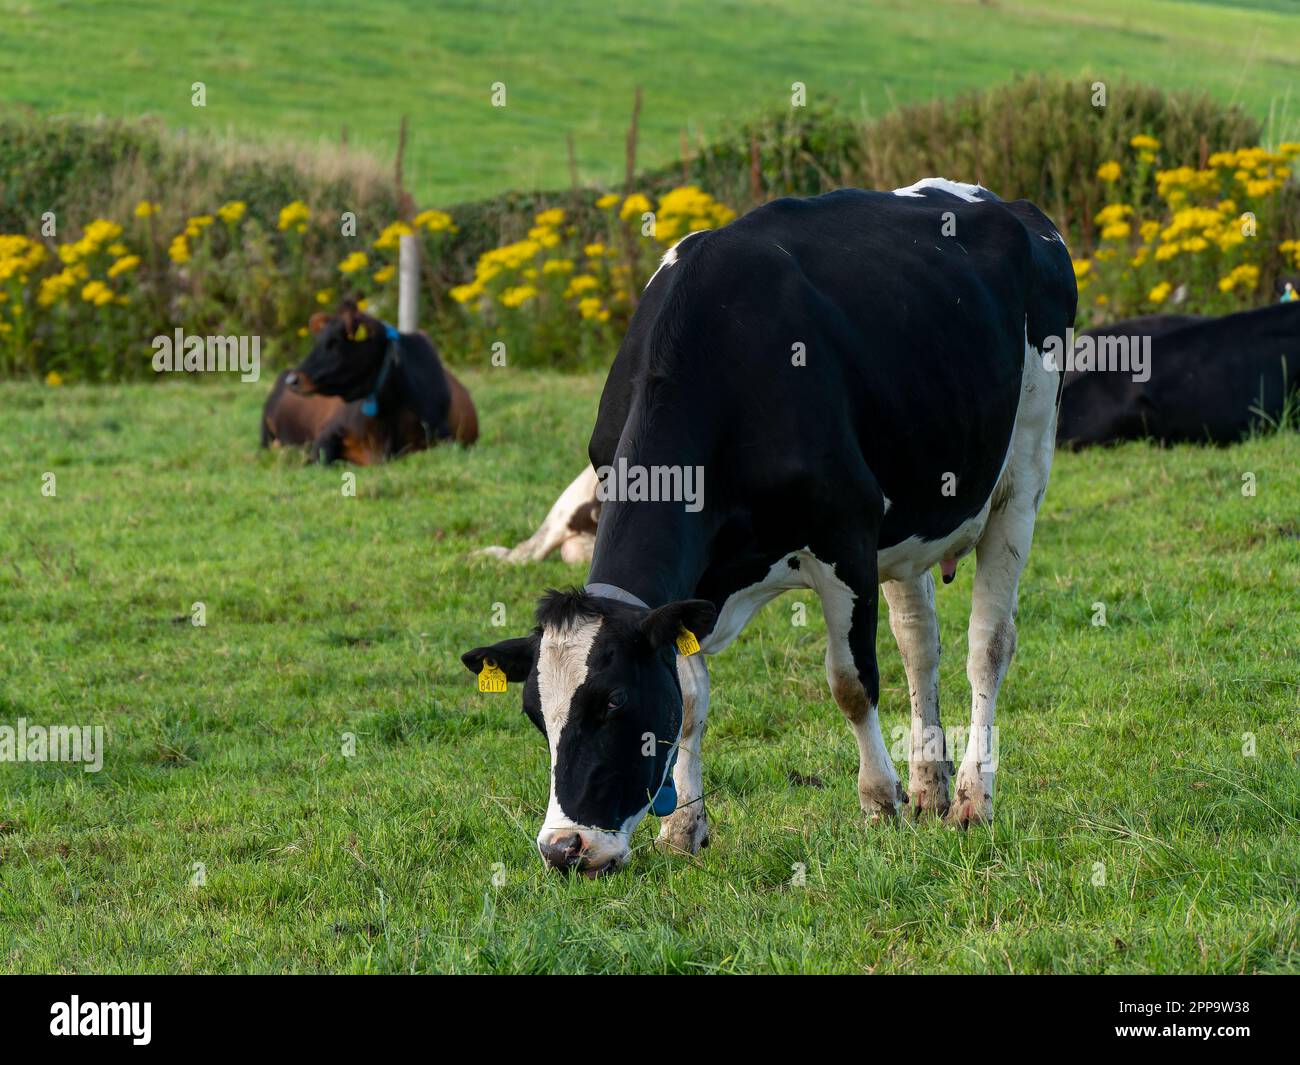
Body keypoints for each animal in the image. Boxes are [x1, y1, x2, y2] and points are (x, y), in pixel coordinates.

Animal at [461, 180, 1076, 876]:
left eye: (613, 702)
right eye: (535, 715)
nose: (565, 848)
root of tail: (1007, 205)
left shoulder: (845, 539)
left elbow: (851, 683)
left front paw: (879, 802)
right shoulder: (698, 589)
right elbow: (691, 699)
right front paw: (684, 828)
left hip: (1022, 475)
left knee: (987, 646)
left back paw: (972, 797)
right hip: (908, 526)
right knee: (921, 645)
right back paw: (929, 786)